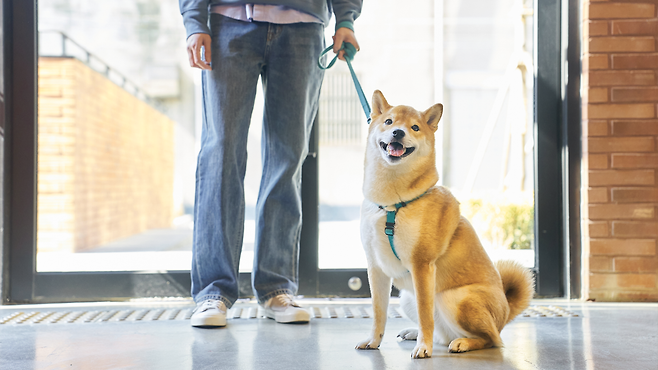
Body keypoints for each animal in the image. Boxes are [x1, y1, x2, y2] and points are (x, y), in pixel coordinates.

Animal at [354, 89, 532, 358]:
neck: (392, 205)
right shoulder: (376, 267)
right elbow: (378, 313)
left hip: (456, 298)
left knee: (491, 339)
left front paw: (423, 348)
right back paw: (415, 333)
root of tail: (505, 312)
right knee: (442, 331)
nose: (398, 133)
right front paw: (373, 341)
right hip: (407, 298)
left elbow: (425, 314)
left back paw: (463, 342)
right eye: (389, 122)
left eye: (415, 127)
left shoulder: (422, 265)